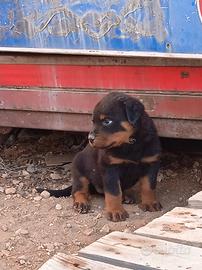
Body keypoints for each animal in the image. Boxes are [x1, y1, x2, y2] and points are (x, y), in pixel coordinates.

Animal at [38, 92, 162, 223]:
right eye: (93, 121)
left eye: (107, 121)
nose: (90, 138)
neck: (131, 142)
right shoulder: (110, 167)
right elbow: (113, 191)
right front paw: (115, 211)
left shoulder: (151, 163)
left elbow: (148, 186)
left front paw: (150, 203)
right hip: (79, 170)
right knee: (78, 190)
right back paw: (81, 203)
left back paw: (126, 196)